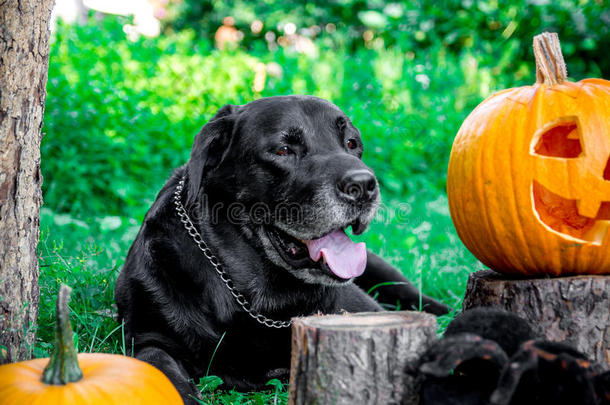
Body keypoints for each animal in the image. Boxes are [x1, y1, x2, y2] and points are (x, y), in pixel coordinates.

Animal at [114, 94, 446, 400]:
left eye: (352, 143)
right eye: (284, 150)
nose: (363, 185)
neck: (260, 300)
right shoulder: (147, 335)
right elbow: (160, 366)